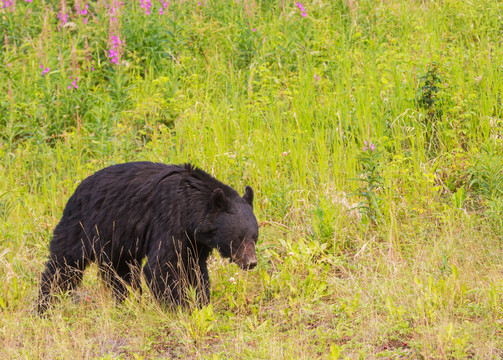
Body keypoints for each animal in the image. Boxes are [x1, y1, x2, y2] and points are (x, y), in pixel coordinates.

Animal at [38, 162, 260, 314]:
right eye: (237, 238)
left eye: (254, 237)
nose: (251, 262)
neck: (190, 207)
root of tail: (76, 190)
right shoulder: (169, 221)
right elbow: (161, 266)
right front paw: (179, 307)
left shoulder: (195, 241)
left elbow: (195, 268)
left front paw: (201, 302)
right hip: (84, 226)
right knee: (63, 265)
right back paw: (44, 305)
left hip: (117, 242)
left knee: (121, 274)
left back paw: (126, 302)